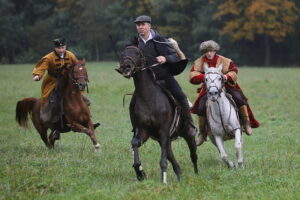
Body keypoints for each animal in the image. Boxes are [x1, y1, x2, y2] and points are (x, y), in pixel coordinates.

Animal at [117, 46, 199, 184]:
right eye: (122, 53)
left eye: (138, 54)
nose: (126, 67)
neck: (148, 98)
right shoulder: (143, 131)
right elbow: (135, 144)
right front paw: (140, 173)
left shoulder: (163, 130)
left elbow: (163, 160)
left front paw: (163, 180)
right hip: (164, 140)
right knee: (172, 158)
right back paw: (179, 176)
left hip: (187, 135)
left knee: (193, 155)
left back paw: (196, 174)